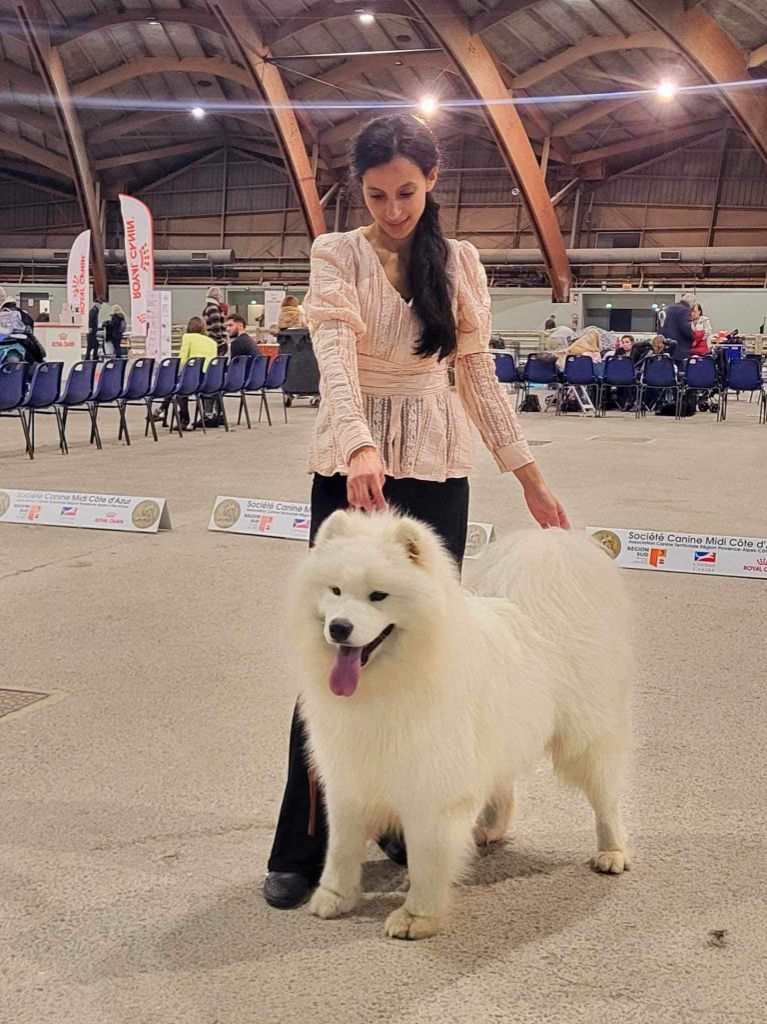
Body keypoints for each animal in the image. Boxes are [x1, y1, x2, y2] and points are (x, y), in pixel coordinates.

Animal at [290, 510, 633, 940]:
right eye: (335, 590)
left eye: (378, 596)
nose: (339, 627)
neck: (389, 683)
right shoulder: (348, 775)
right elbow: (341, 847)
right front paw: (334, 897)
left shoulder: (430, 786)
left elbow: (428, 855)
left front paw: (416, 916)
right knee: (503, 785)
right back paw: (488, 829)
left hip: (586, 739)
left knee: (606, 797)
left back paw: (612, 852)